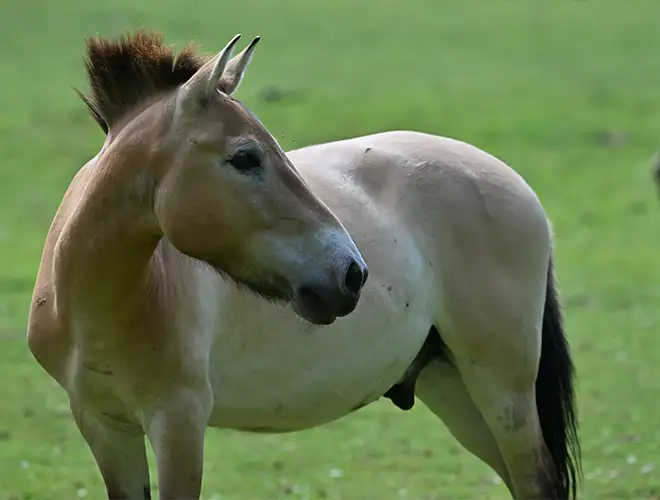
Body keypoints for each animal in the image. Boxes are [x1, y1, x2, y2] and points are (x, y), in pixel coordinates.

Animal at [27, 30, 581, 500]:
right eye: (245, 157)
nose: (352, 274)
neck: (104, 307)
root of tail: (515, 183)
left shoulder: (178, 423)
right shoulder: (103, 424)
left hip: (502, 390)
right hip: (455, 391)